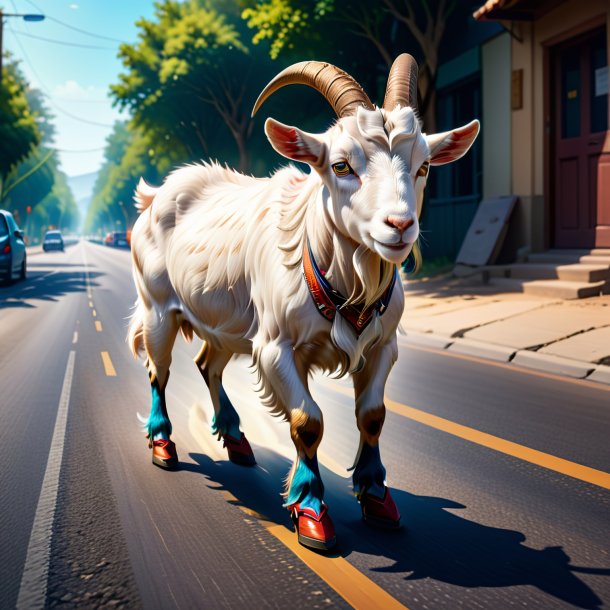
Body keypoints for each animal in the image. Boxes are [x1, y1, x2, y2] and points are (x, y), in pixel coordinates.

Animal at [129, 55, 480, 552]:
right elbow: (307, 421)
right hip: (157, 306)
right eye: (341, 165)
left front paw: (376, 496)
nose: (400, 225)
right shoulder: (275, 348)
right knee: (158, 369)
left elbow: (373, 416)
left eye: (425, 166)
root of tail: (155, 194)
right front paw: (311, 511)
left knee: (207, 364)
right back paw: (162, 444)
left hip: (226, 322)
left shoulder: (383, 347)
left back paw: (236, 440)